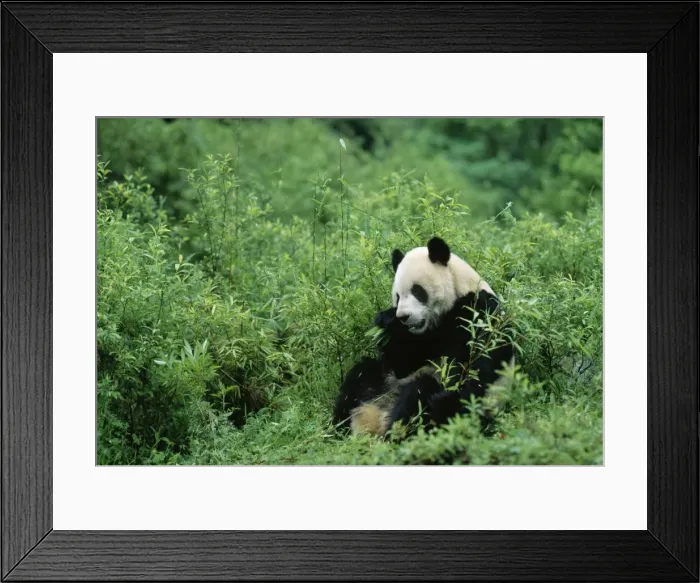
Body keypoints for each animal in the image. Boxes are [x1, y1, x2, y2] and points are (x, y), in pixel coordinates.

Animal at [332, 236, 514, 438]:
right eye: (398, 296)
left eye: (417, 291)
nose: (403, 316)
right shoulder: (421, 339)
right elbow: (403, 363)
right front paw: (387, 321)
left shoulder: (480, 312)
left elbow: (481, 363)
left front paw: (444, 401)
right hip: (382, 384)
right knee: (361, 374)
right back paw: (338, 431)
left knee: (420, 391)